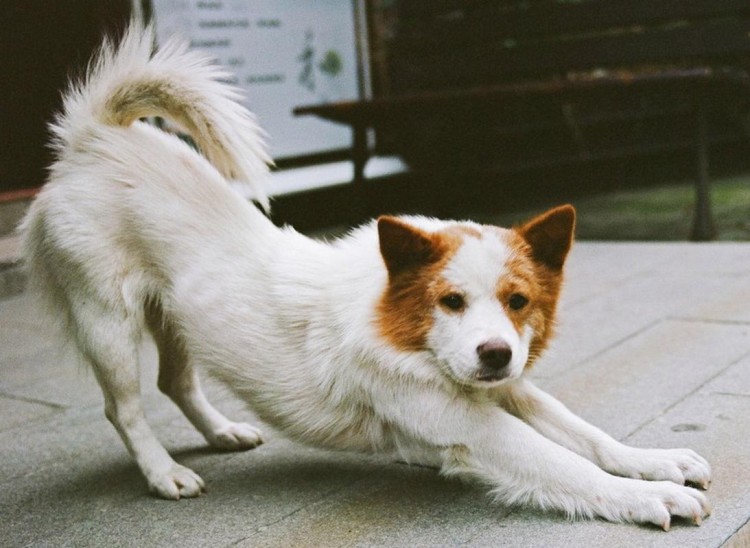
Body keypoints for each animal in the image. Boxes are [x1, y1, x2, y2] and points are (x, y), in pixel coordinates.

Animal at [20, 22, 712, 532]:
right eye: (450, 301)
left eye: (518, 301)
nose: (494, 353)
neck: (399, 327)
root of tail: (95, 138)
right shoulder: (472, 425)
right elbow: (567, 466)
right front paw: (644, 497)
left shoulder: (508, 390)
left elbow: (589, 436)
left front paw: (654, 461)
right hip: (108, 319)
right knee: (125, 407)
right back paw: (164, 473)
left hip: (177, 316)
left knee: (175, 382)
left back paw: (221, 433)